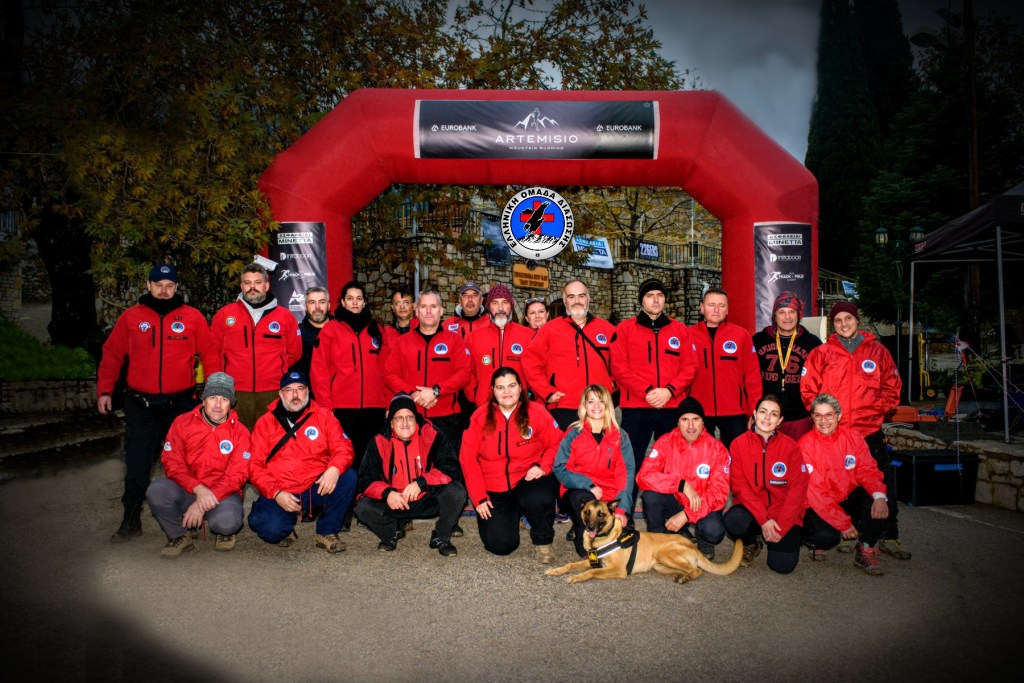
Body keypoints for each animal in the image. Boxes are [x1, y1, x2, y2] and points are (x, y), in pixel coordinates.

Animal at [545, 499, 742, 584]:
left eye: (601, 514)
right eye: (587, 512)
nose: (590, 527)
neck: (604, 538)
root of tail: (693, 545)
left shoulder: (617, 570)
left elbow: (590, 572)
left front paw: (577, 577)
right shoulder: (592, 561)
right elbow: (570, 564)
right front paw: (556, 570)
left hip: (663, 552)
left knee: (697, 570)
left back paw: (685, 578)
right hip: (660, 565)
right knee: (689, 569)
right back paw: (681, 576)